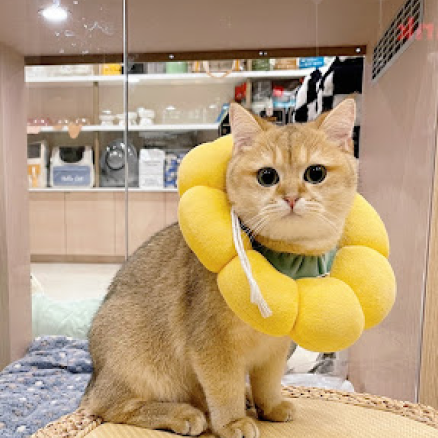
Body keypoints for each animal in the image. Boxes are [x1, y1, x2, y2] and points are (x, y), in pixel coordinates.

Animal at [80, 99, 358, 438]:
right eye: (267, 176)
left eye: (315, 173)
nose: (291, 197)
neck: (283, 261)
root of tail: (95, 377)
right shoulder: (213, 346)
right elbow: (224, 389)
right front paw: (232, 422)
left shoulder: (274, 350)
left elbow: (268, 383)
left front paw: (270, 406)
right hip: (135, 356)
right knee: (111, 407)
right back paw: (183, 414)